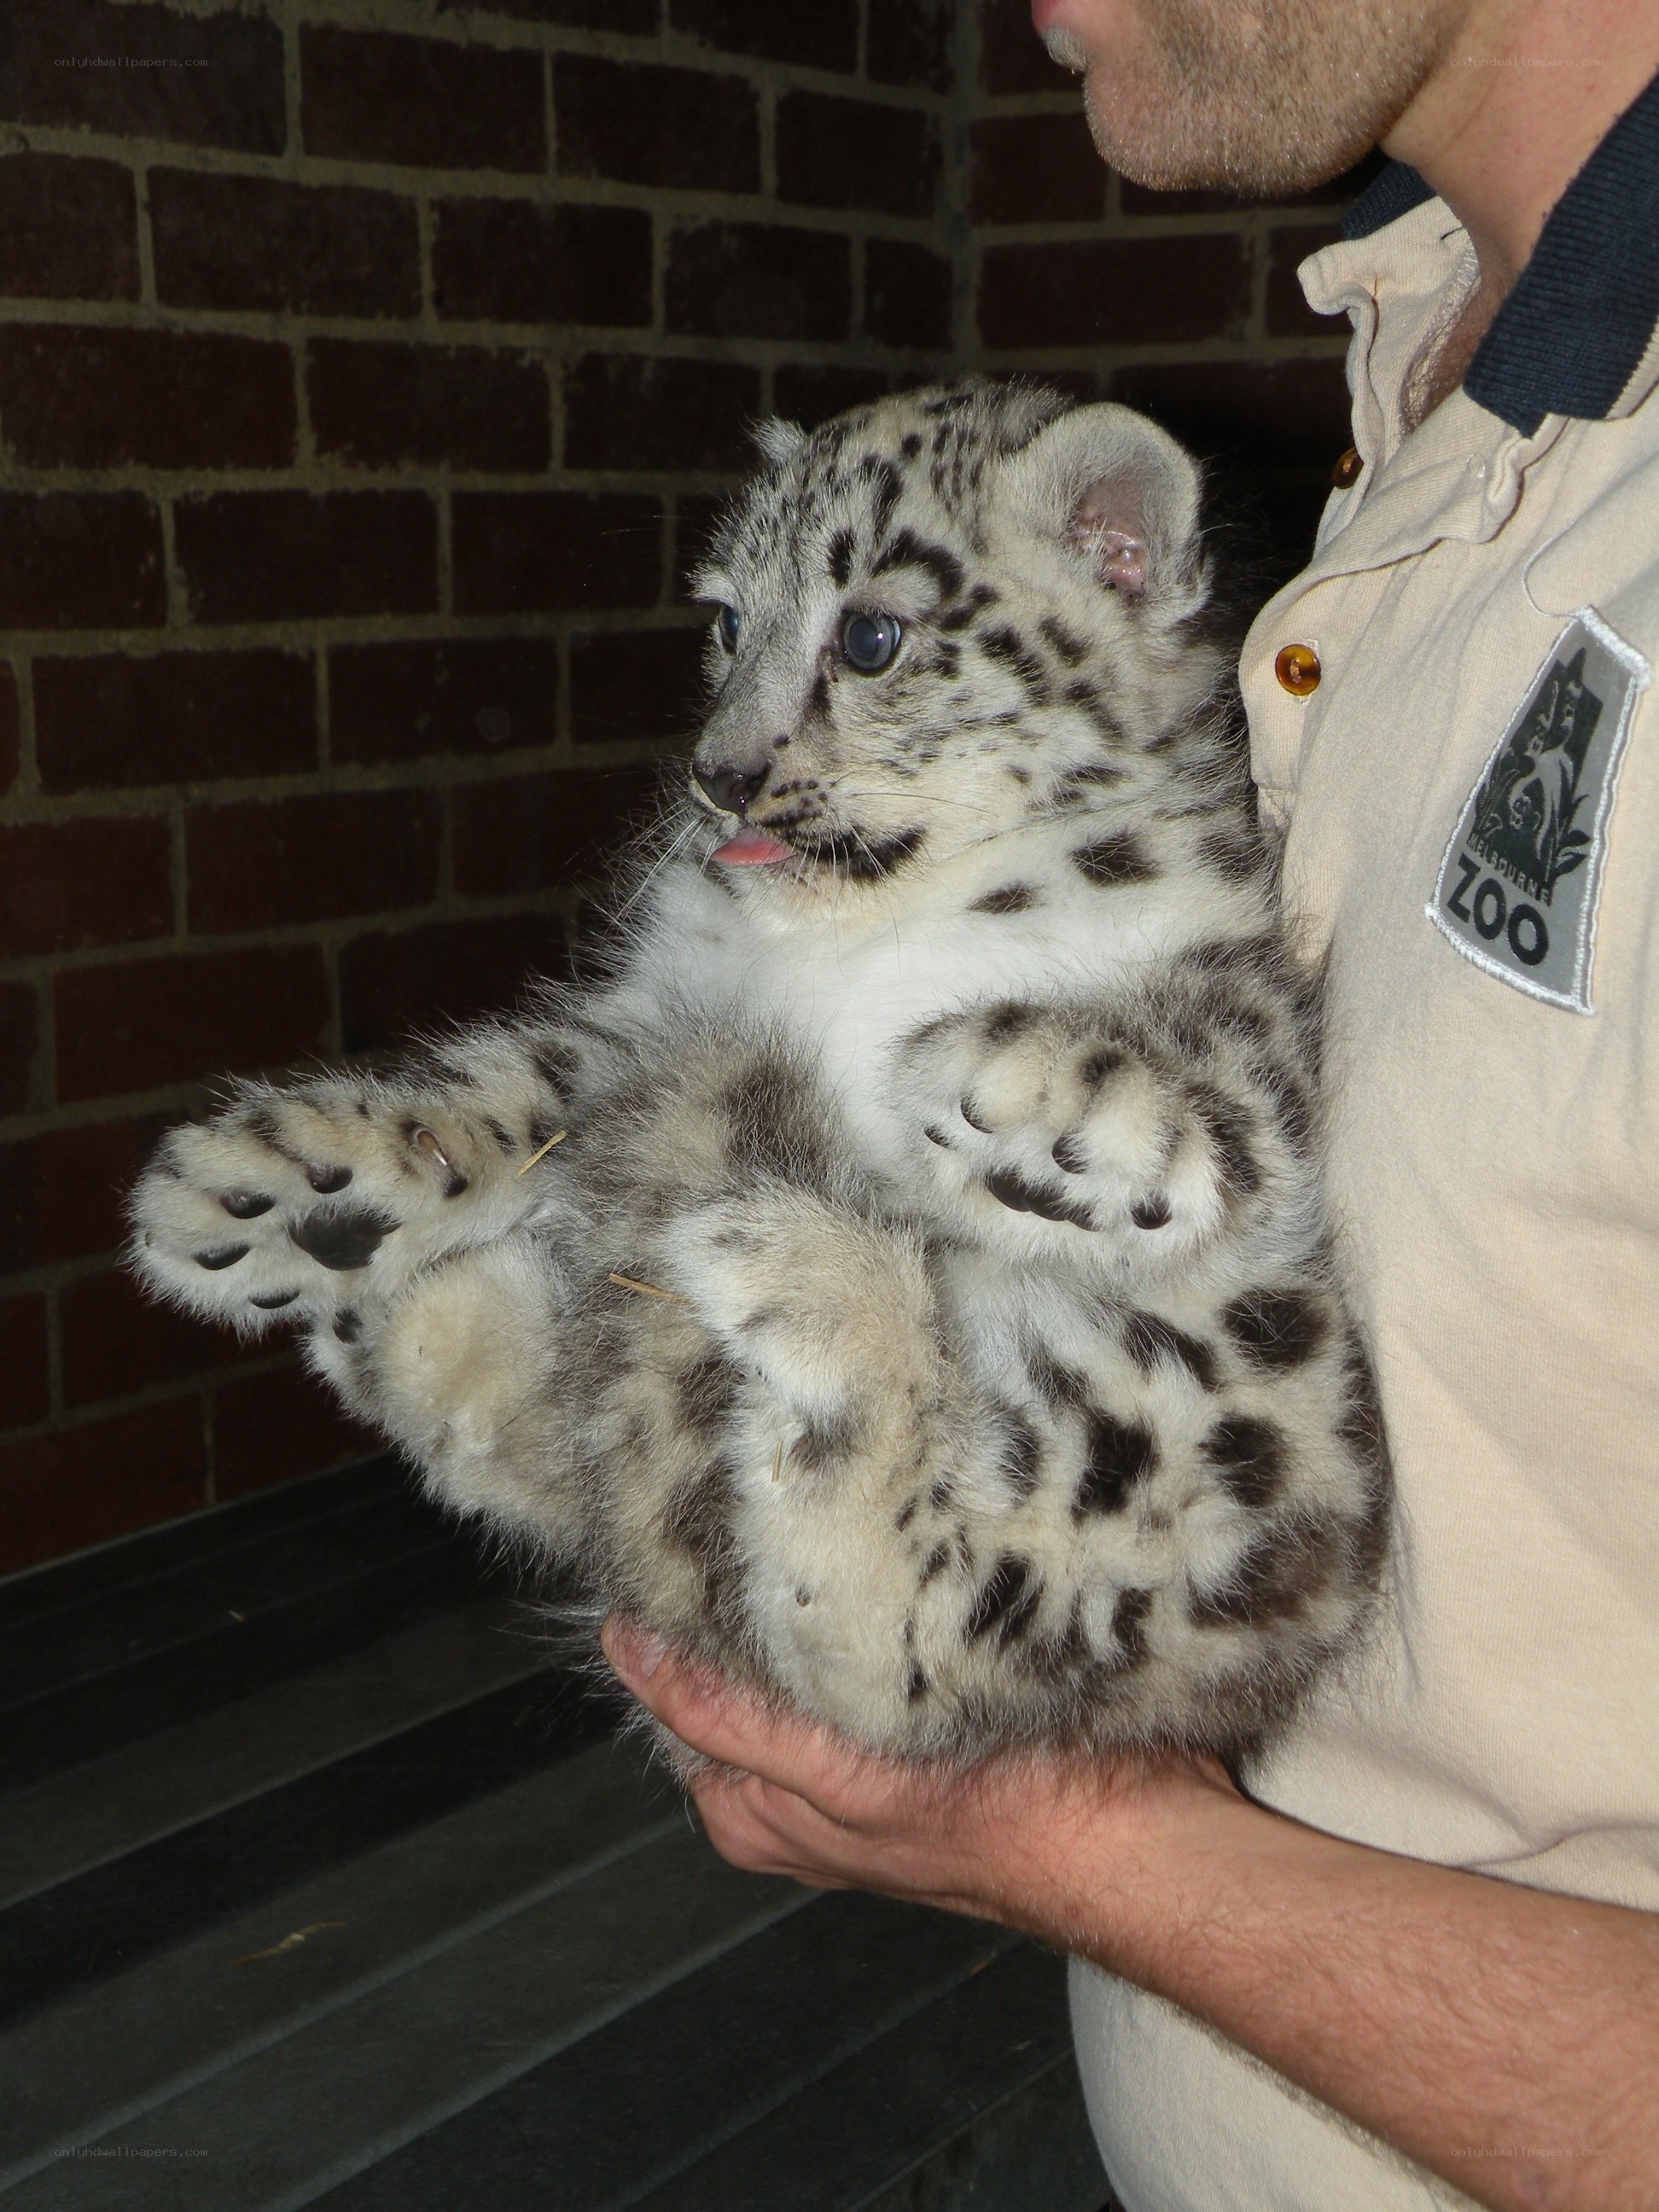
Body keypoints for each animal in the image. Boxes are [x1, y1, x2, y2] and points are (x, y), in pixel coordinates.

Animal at [129, 381, 1390, 1766]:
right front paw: (260, 1188)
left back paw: (789, 1264)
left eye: (873, 636)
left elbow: (1230, 1040)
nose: (719, 775)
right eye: (726, 623)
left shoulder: (1239, 960)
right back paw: (429, 1314)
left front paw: (1032, 1090)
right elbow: (514, 1090)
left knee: (934, 1643)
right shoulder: (652, 1014)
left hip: (1236, 1427)